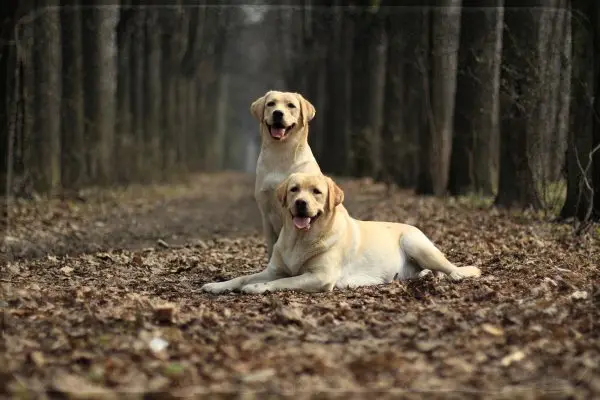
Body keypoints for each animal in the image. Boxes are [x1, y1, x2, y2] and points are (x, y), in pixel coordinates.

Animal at [203, 172, 482, 294]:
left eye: (316, 192)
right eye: (294, 190)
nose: (301, 203)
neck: (300, 239)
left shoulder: (320, 276)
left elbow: (284, 282)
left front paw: (258, 287)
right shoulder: (275, 269)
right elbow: (242, 277)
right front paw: (218, 285)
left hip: (415, 242)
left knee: (451, 268)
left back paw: (459, 273)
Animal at [250, 90, 322, 260]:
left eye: (291, 105)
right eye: (271, 104)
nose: (278, 113)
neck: (280, 154)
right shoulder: (266, 213)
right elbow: (271, 248)